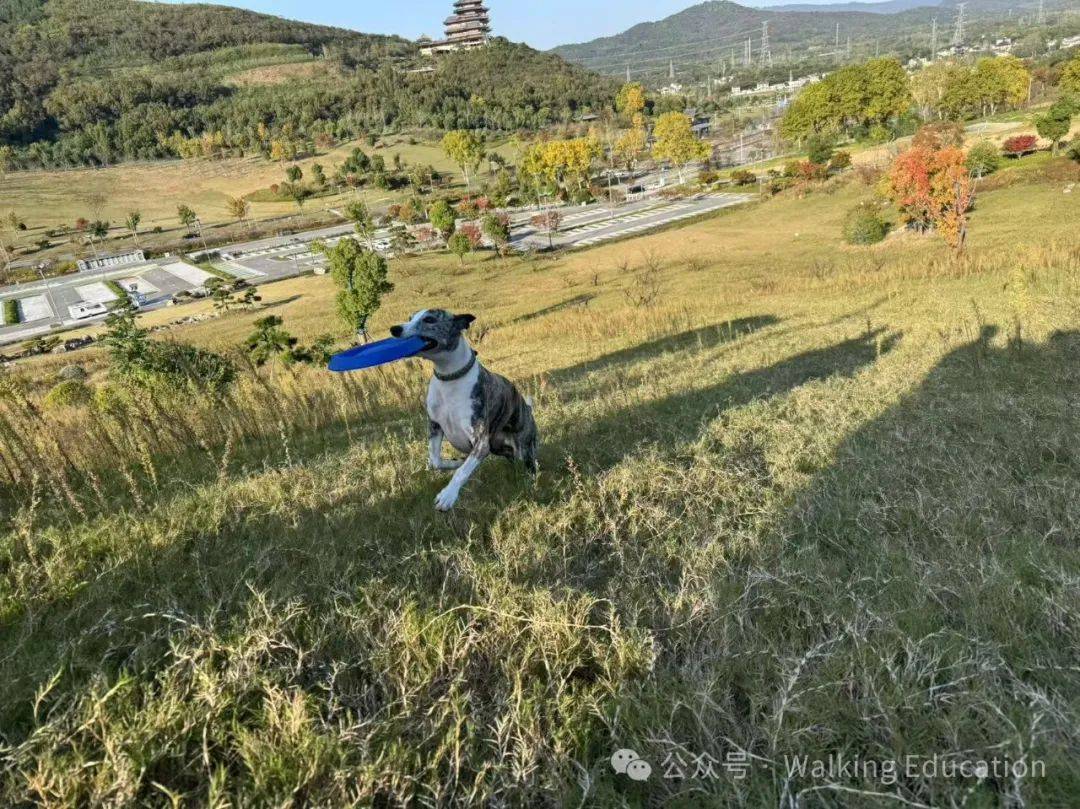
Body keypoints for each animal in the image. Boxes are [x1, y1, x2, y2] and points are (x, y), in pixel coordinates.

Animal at [390, 308, 537, 511]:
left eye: (429, 319)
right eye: (410, 318)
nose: (394, 329)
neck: (449, 378)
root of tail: (527, 407)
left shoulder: (481, 443)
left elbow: (462, 471)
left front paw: (448, 495)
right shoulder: (435, 426)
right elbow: (435, 461)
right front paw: (454, 462)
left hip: (523, 448)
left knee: (530, 464)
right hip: (501, 449)